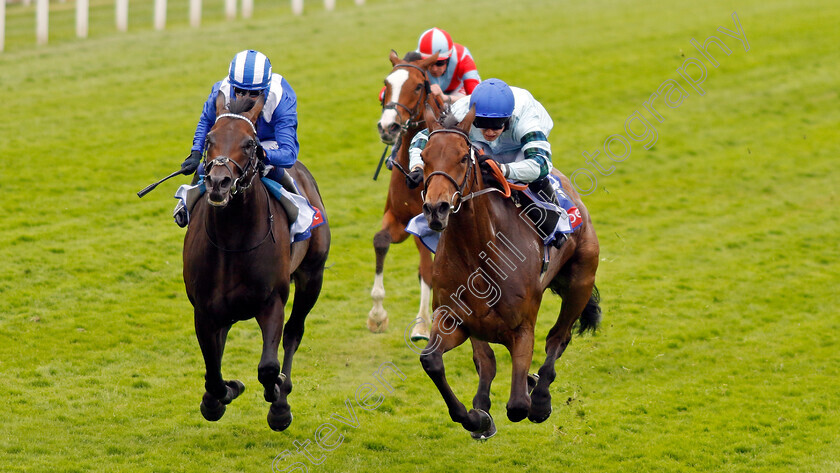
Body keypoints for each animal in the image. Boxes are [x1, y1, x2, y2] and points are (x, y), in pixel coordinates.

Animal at [184, 90, 332, 430]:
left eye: (250, 144)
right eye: (209, 139)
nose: (218, 182)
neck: (231, 241)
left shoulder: (271, 301)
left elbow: (268, 366)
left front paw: (277, 401)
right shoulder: (204, 309)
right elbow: (213, 372)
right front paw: (223, 393)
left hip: (312, 276)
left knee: (294, 332)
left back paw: (282, 393)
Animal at [416, 104, 600, 438]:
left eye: (462, 157)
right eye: (424, 157)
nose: (436, 209)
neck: (477, 253)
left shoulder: (522, 328)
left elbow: (516, 406)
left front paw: (532, 398)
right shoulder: (454, 319)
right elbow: (433, 361)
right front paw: (476, 418)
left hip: (581, 280)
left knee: (558, 337)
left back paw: (540, 399)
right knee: (488, 360)